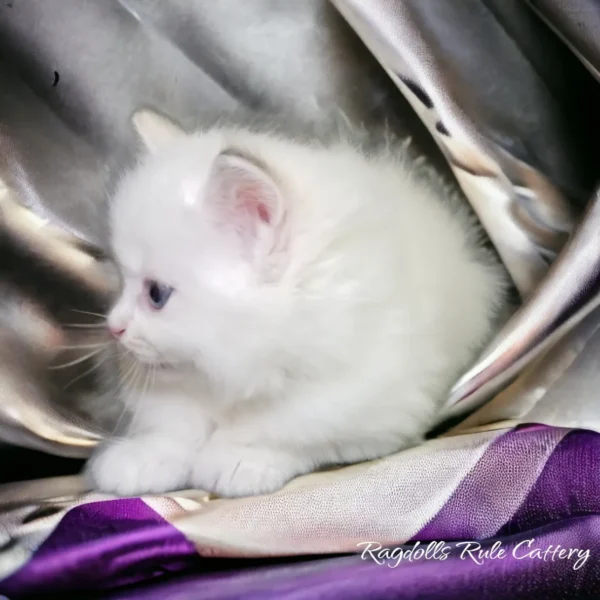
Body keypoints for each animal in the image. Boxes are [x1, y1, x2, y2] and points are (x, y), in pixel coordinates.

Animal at [85, 112, 506, 496]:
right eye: (121, 280)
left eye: (156, 294)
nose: (114, 326)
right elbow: (176, 425)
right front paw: (145, 458)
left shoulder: (371, 405)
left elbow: (290, 433)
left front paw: (242, 459)